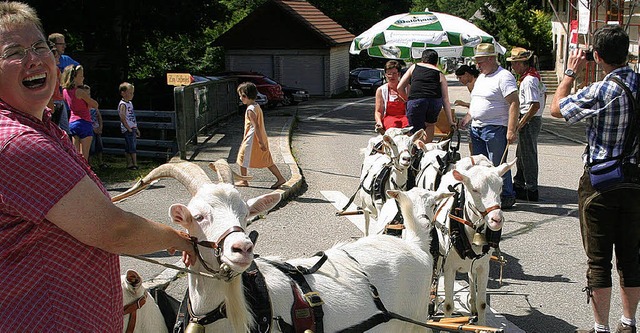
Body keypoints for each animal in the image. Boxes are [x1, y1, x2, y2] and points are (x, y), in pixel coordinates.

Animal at [430, 161, 516, 324]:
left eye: (500, 187)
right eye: (475, 190)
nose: (496, 219)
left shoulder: (483, 266)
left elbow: (482, 304)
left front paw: (482, 324)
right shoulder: (449, 267)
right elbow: (449, 305)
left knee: (471, 276)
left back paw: (472, 305)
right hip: (438, 254)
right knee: (435, 275)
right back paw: (433, 303)